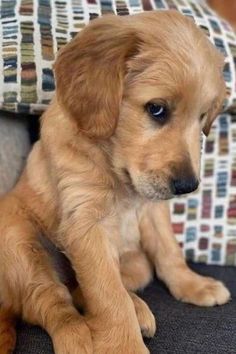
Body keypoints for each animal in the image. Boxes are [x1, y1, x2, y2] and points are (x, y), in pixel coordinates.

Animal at [0, 9, 230, 354]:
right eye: (156, 109)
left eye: (202, 117)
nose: (189, 187)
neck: (118, 175)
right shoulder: (85, 223)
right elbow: (109, 296)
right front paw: (125, 346)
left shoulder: (153, 208)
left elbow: (168, 251)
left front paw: (192, 284)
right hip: (20, 244)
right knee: (51, 303)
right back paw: (80, 338)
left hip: (132, 262)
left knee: (86, 287)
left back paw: (138, 309)